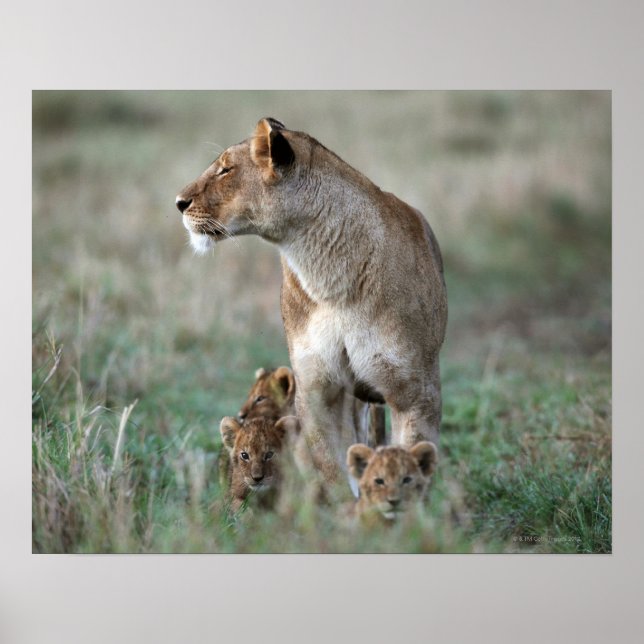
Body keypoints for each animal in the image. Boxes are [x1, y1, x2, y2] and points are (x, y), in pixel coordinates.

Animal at [177, 118, 447, 490]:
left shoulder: (415, 395)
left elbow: (411, 468)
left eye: (226, 169)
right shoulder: (319, 392)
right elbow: (335, 474)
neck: (328, 276)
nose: (178, 202)